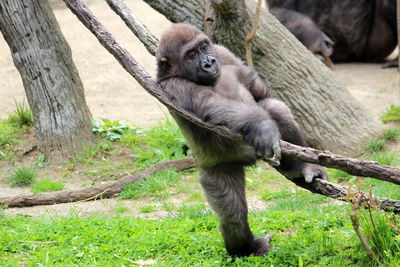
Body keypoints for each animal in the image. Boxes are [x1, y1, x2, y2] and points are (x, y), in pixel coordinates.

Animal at [156, 23, 328, 258]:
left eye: (204, 47)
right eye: (191, 55)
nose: (208, 62)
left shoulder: (222, 53)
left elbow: (258, 92)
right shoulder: (174, 86)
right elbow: (211, 104)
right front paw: (262, 126)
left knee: (275, 108)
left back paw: (302, 167)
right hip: (217, 170)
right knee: (232, 214)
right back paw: (244, 247)